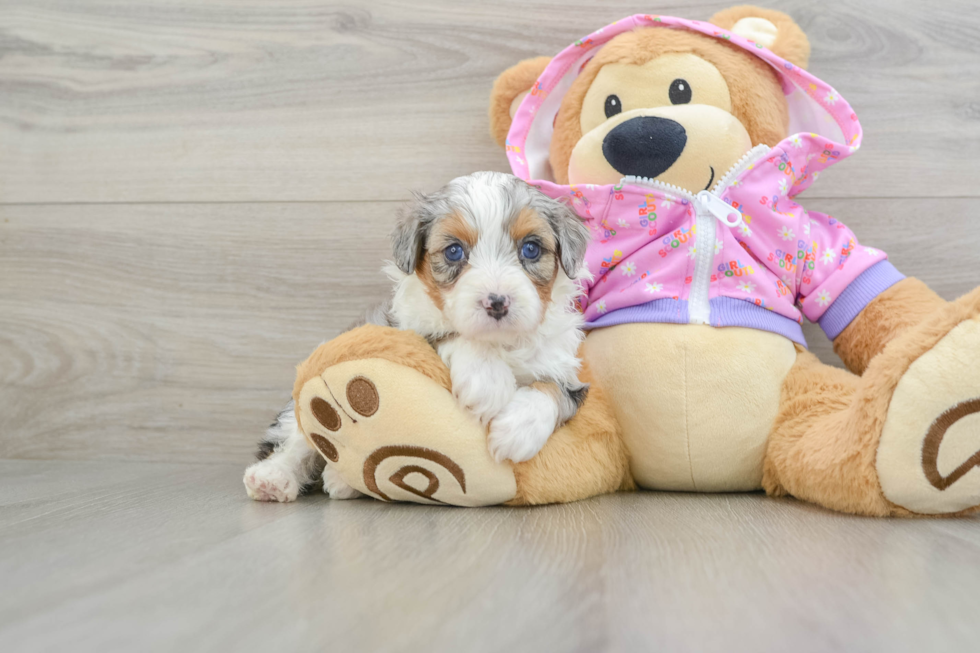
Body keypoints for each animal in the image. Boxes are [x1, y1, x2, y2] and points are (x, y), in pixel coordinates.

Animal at [245, 171, 592, 502]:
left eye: (531, 248)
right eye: (454, 251)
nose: (497, 302)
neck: (499, 341)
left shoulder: (565, 367)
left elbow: (552, 391)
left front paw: (517, 430)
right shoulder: (408, 331)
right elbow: (450, 335)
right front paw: (487, 382)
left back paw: (340, 481)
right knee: (296, 439)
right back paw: (273, 478)